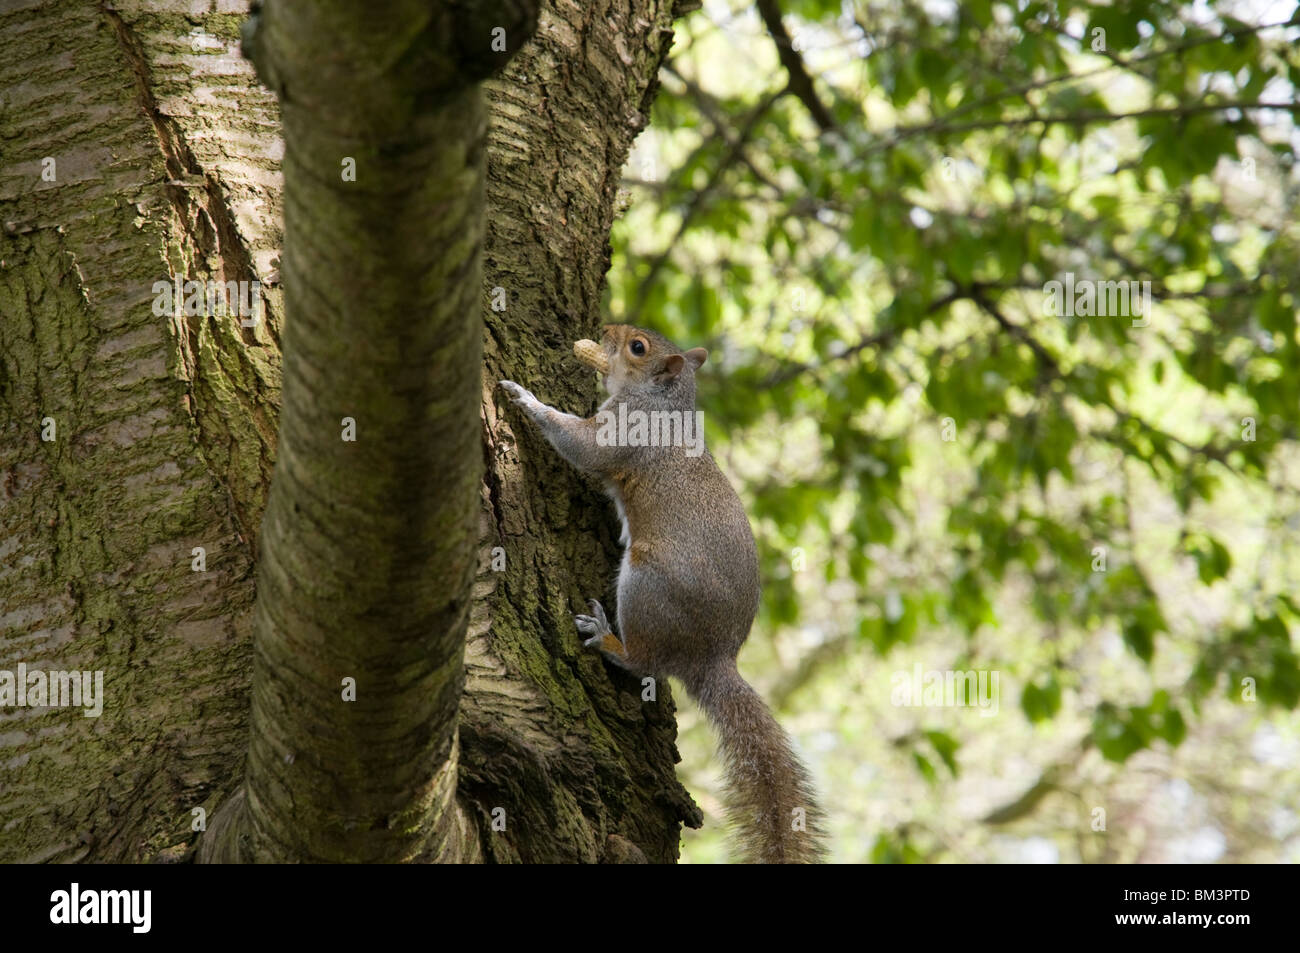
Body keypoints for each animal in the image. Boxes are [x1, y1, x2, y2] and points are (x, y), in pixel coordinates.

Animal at [499, 324, 826, 864]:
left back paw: (609, 639)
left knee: (645, 661)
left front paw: (526, 399)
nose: (606, 330)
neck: (662, 401)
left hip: (645, 583)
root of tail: (711, 656)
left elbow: (584, 446)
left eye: (637, 347)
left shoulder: (622, 430)